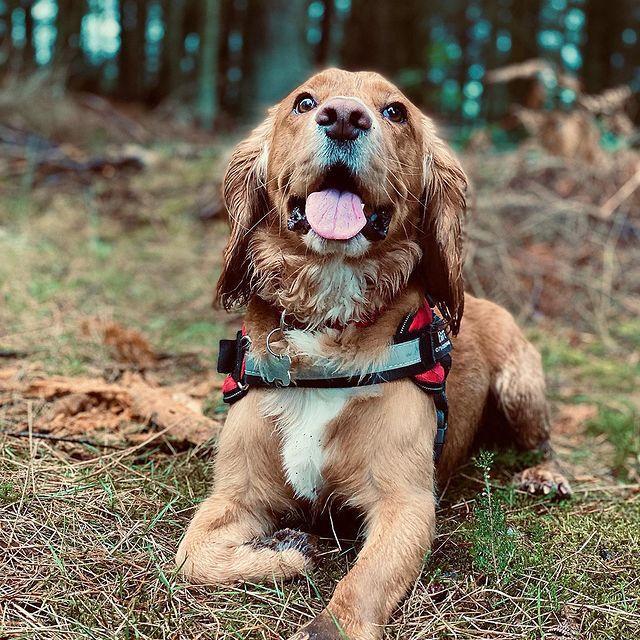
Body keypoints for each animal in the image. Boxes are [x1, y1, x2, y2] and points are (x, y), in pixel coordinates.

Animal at [176, 70, 568, 640]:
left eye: (395, 111)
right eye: (304, 102)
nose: (343, 116)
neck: (327, 328)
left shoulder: (404, 502)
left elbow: (361, 585)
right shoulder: (234, 493)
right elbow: (191, 557)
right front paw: (287, 549)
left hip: (520, 389)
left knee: (542, 439)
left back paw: (545, 475)